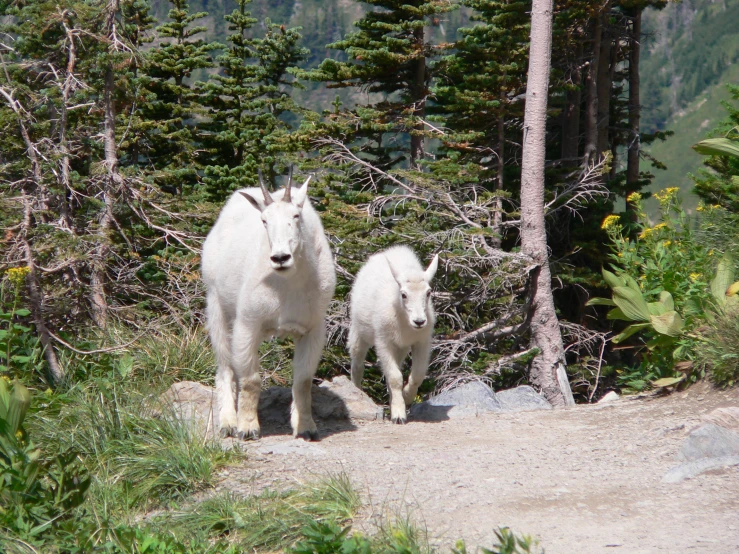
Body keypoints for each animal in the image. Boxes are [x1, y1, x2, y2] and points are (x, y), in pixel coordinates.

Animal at [202, 171, 336, 440]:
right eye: (264, 220)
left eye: (296, 216)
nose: (280, 258)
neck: (287, 285)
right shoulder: (248, 323)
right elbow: (251, 379)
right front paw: (247, 428)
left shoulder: (313, 329)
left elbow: (303, 381)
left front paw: (306, 427)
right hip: (216, 303)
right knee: (224, 364)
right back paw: (228, 422)